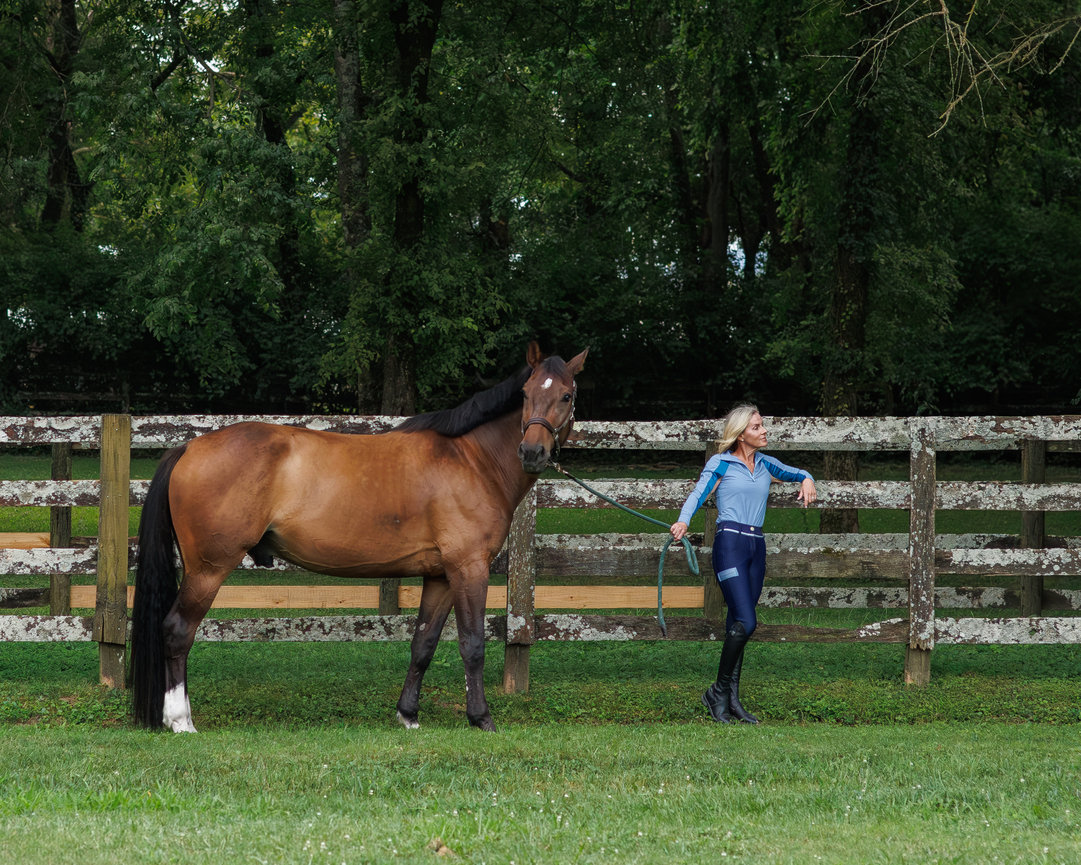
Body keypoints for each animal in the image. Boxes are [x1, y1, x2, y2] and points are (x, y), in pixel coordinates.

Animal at [128, 341, 588, 732]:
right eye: (525, 393)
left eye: (567, 395)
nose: (532, 452)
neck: (471, 459)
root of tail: (189, 448)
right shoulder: (468, 568)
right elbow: (472, 645)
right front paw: (482, 719)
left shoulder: (441, 575)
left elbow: (423, 644)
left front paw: (408, 715)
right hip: (208, 569)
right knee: (177, 631)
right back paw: (181, 721)